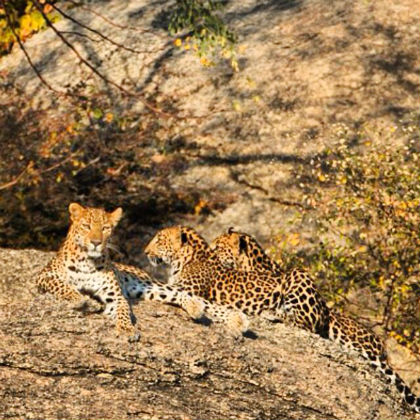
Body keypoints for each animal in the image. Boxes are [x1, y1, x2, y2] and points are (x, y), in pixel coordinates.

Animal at [35, 203, 223, 338]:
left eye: (105, 228)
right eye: (86, 226)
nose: (96, 242)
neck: (88, 261)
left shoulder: (116, 296)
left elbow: (123, 311)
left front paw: (127, 329)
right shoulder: (44, 276)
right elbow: (65, 287)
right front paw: (82, 300)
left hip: (147, 284)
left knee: (186, 294)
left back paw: (204, 309)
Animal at [212, 228, 420, 412]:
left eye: (218, 247)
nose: (210, 254)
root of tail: (381, 349)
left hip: (299, 276)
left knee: (303, 324)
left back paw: (272, 313)